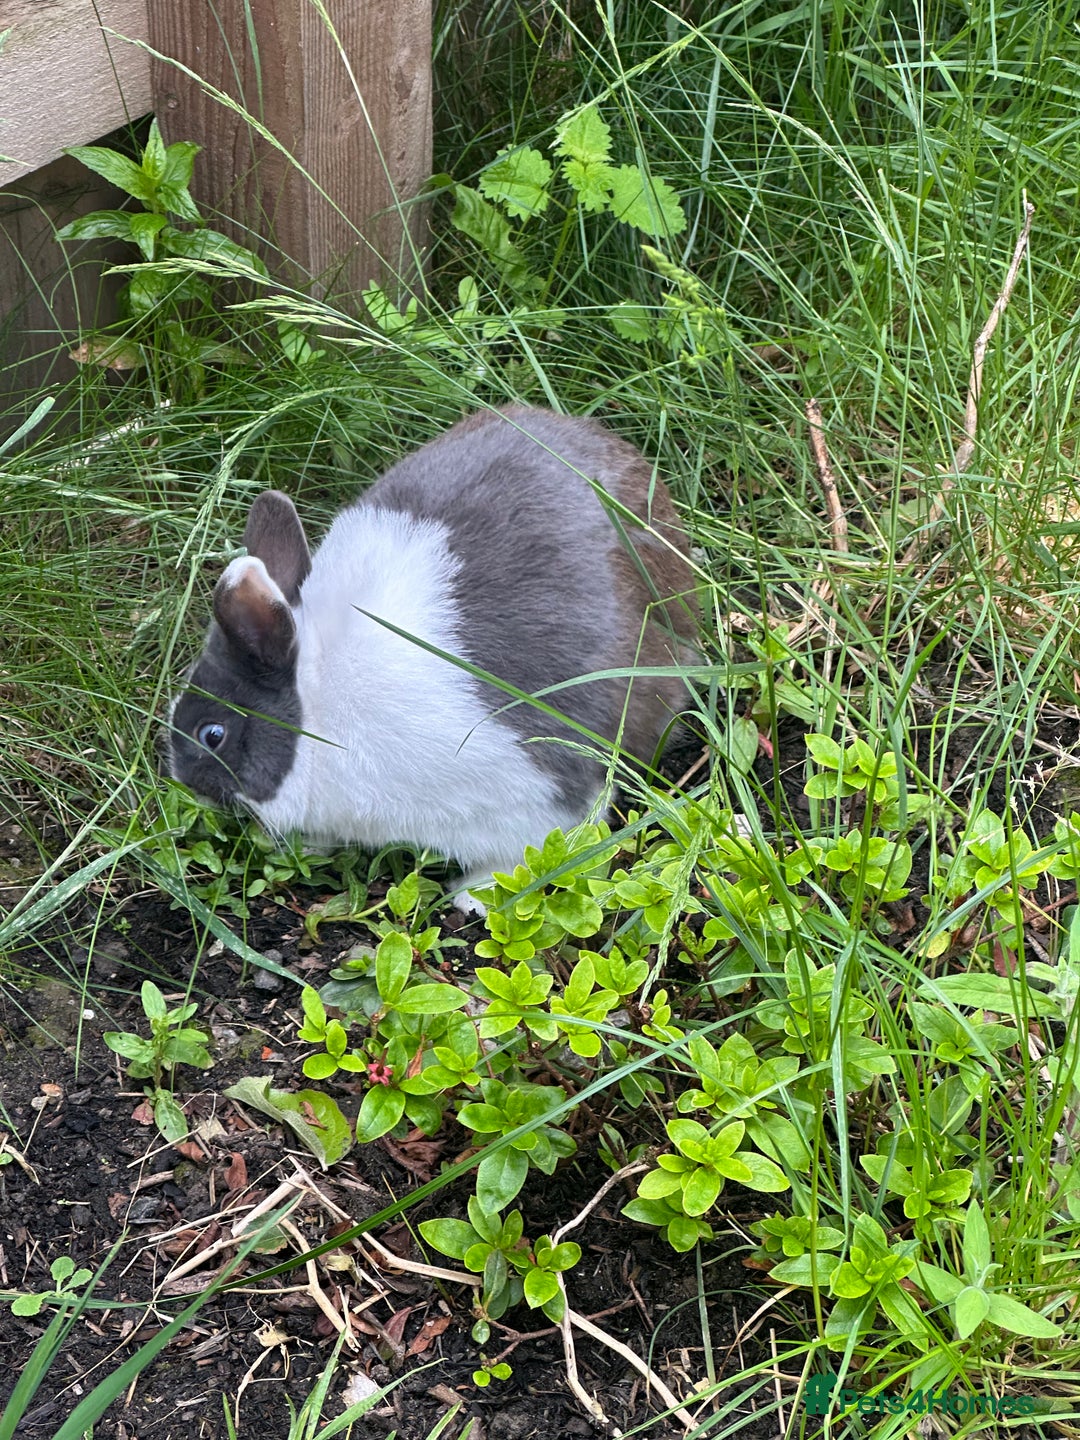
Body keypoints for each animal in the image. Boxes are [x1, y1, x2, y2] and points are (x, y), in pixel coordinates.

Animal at [169, 405, 697, 904]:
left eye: (212, 733)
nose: (178, 776)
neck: (319, 703)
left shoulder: (530, 794)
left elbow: (521, 856)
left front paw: (474, 898)